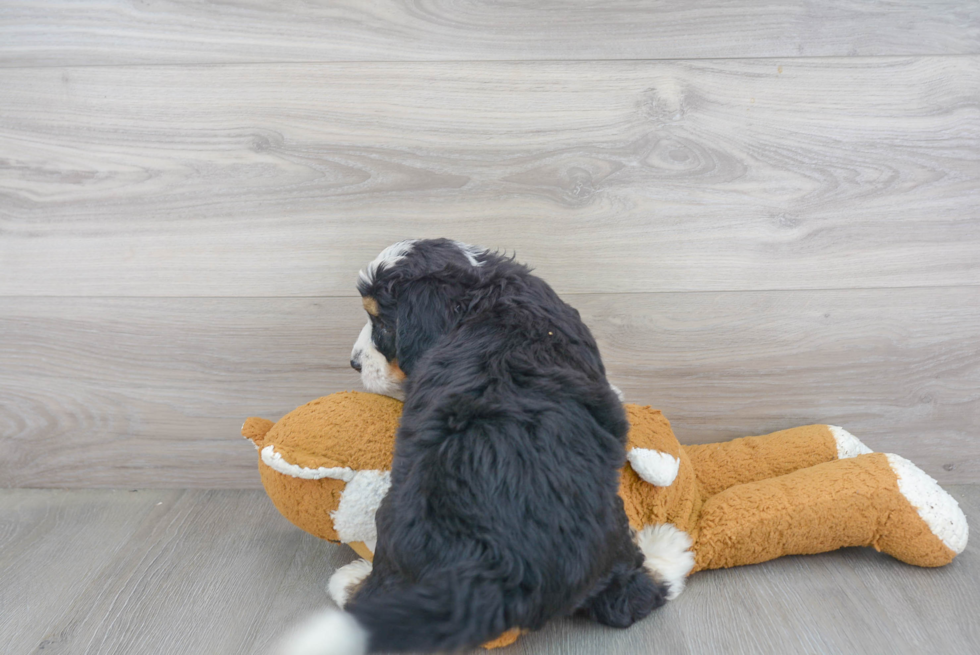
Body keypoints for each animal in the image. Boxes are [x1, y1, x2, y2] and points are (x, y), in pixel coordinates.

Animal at [278, 241, 672, 655]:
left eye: (383, 325)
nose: (354, 363)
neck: (482, 293)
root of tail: (500, 567)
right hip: (610, 525)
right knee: (631, 597)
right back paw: (665, 552)